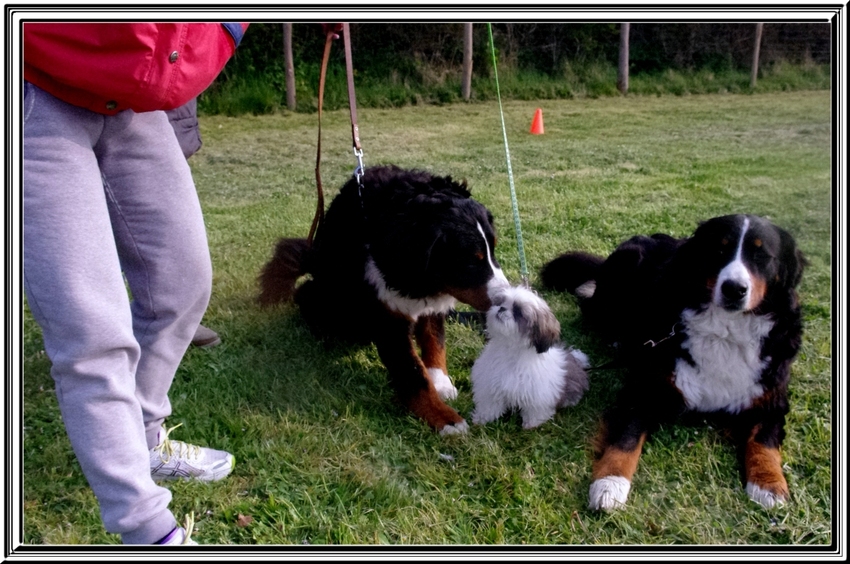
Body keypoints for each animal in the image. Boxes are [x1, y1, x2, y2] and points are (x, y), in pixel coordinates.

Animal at [258, 165, 506, 434]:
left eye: (492, 250)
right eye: (471, 260)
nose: (505, 300)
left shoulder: (429, 304)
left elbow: (434, 342)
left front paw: (440, 382)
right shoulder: (387, 317)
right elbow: (413, 372)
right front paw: (446, 418)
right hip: (324, 299)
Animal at [470, 284, 588, 430]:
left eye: (518, 312)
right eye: (500, 302)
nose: (501, 308)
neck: (510, 350)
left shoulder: (538, 393)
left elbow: (535, 409)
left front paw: (531, 424)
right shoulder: (489, 382)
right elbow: (489, 404)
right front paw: (482, 419)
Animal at [540, 213, 804, 512]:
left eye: (762, 255)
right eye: (719, 250)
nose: (734, 289)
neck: (725, 332)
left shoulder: (772, 399)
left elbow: (764, 442)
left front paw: (769, 485)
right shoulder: (643, 388)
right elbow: (625, 438)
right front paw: (609, 484)